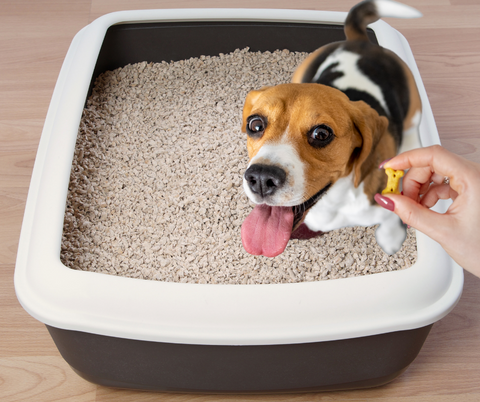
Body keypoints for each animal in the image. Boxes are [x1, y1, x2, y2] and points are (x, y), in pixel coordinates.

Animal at [242, 0, 422, 258]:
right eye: (255, 124)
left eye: (321, 134)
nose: (261, 178)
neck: (333, 200)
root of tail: (360, 41)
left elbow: (391, 217)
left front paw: (391, 239)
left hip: (414, 112)